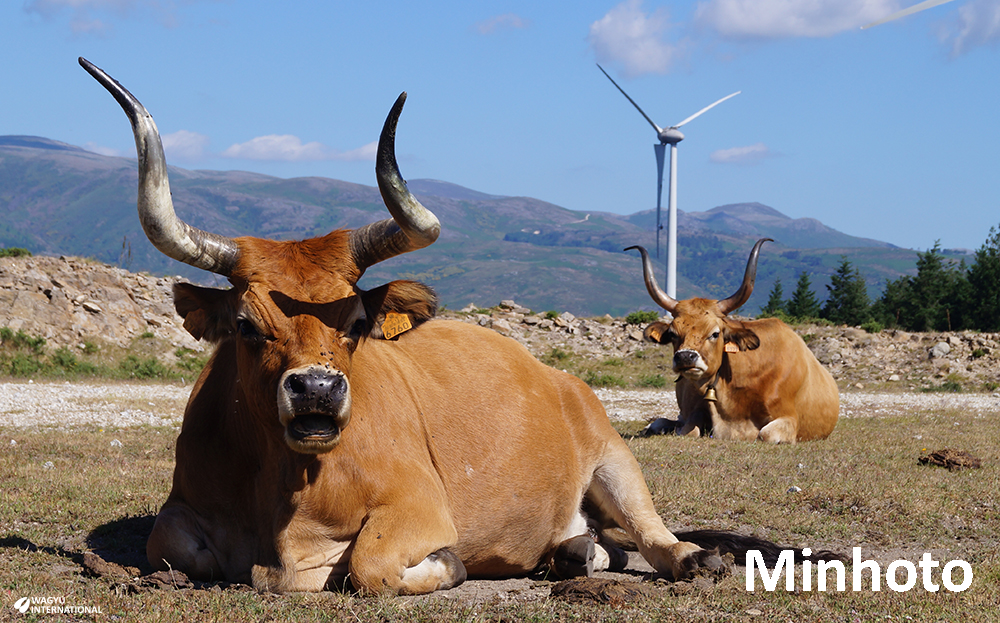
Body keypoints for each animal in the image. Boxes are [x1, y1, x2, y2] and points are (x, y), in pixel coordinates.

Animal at [628, 240, 840, 444]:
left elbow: (767, 434)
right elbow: (689, 429)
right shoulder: (696, 411)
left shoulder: (789, 418)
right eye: (672, 333)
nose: (685, 357)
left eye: (715, 333)